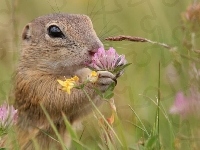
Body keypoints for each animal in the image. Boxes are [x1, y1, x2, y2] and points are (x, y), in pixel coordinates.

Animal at [13, 13, 117, 149]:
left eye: (88, 21)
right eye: (54, 31)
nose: (96, 48)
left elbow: (83, 110)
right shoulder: (35, 87)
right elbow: (62, 99)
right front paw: (98, 82)